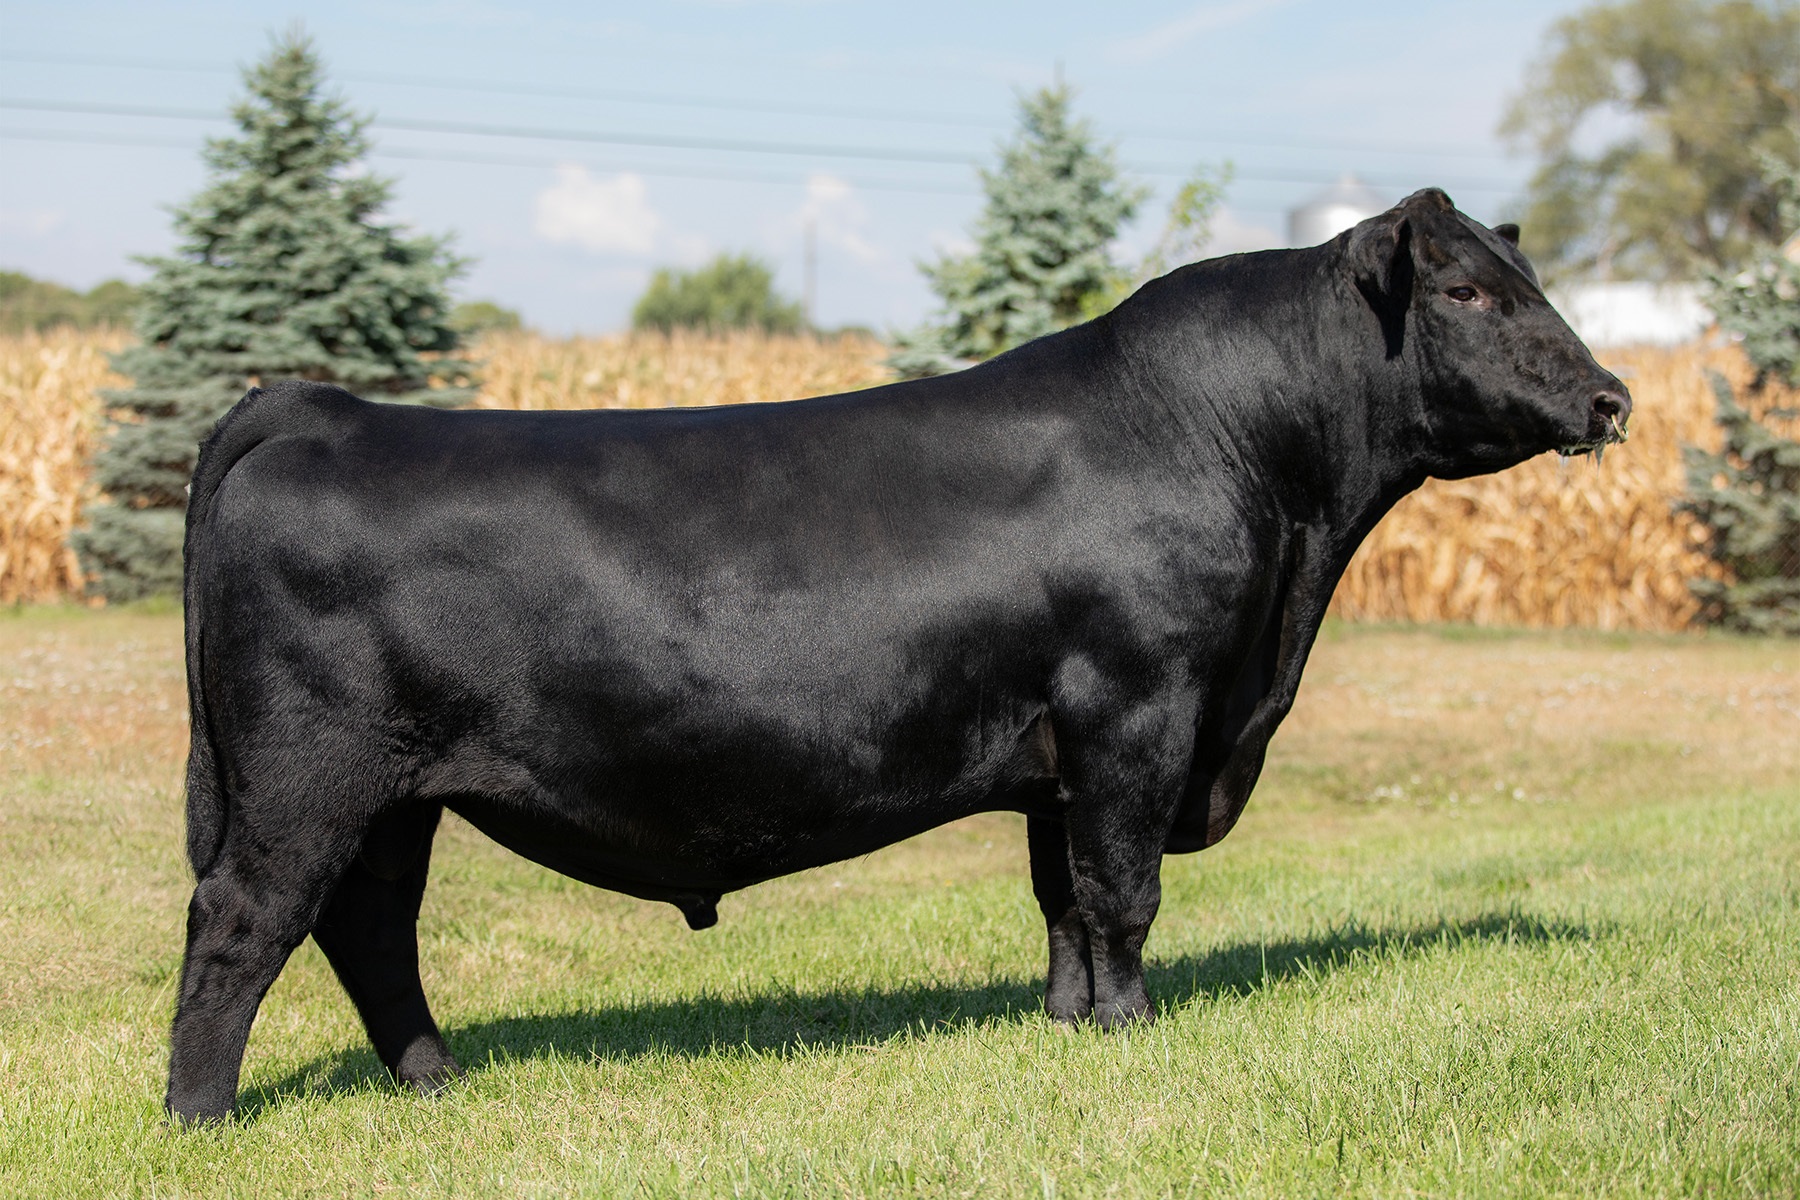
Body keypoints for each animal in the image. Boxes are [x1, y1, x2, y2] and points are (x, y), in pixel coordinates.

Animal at [164, 189, 1629, 1122]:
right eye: (1465, 290)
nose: (1613, 398)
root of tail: (322, 408)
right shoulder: (1138, 707)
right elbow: (1125, 892)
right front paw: (1135, 1032)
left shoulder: (1060, 749)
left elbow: (1063, 899)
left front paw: (1068, 1029)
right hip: (308, 773)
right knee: (242, 921)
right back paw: (201, 1119)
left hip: (394, 797)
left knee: (369, 927)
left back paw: (434, 1083)